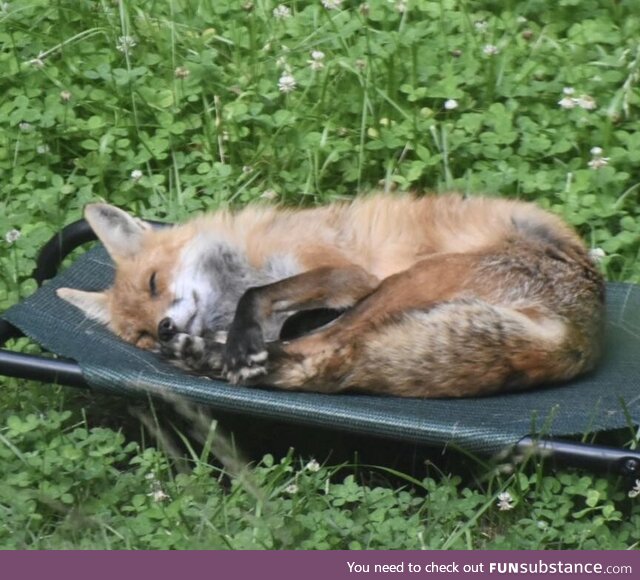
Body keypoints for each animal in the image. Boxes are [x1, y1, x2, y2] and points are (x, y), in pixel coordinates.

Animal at [57, 193, 605, 398]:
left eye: (154, 281)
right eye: (140, 336)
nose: (166, 331)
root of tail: (586, 337)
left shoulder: (348, 273)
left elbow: (258, 294)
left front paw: (238, 341)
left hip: (403, 284)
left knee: (325, 355)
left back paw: (213, 357)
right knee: (325, 358)